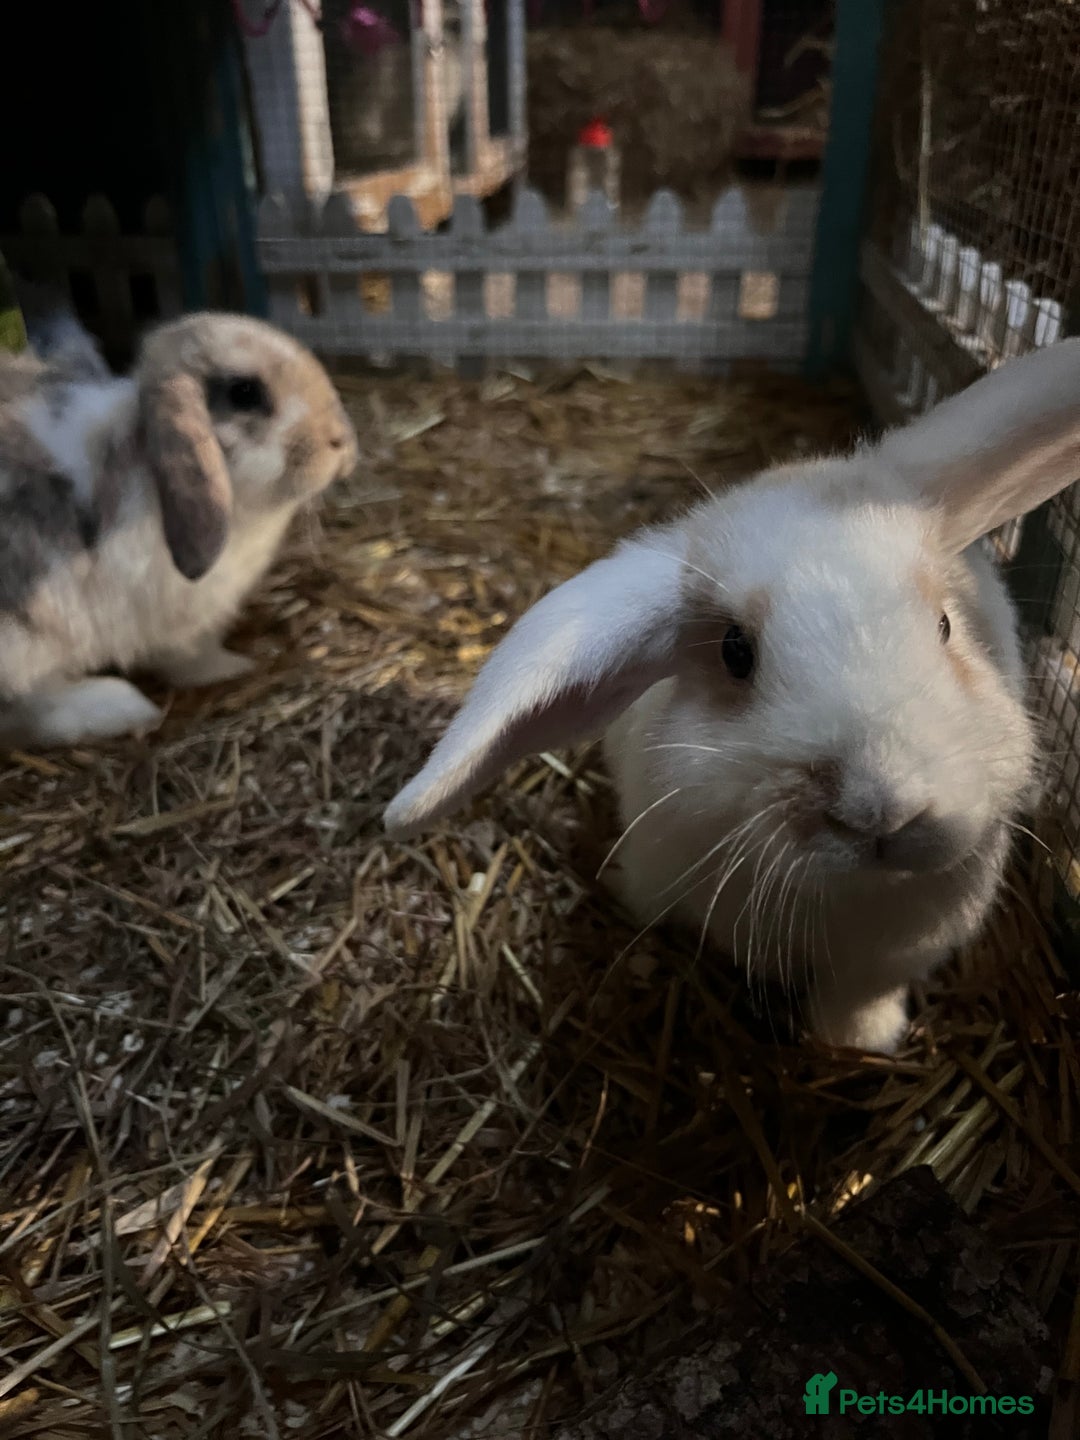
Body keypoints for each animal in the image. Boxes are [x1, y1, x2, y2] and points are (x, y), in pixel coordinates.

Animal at [0, 311, 358, 748]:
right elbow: (187, 658)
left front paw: (232, 663)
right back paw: (122, 706)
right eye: (244, 392)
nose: (342, 442)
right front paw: (233, 667)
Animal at [384, 339, 1080, 1054]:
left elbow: (861, 1000)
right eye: (734, 653)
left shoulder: (888, 960)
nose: (881, 811)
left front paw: (859, 1043)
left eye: (945, 626)